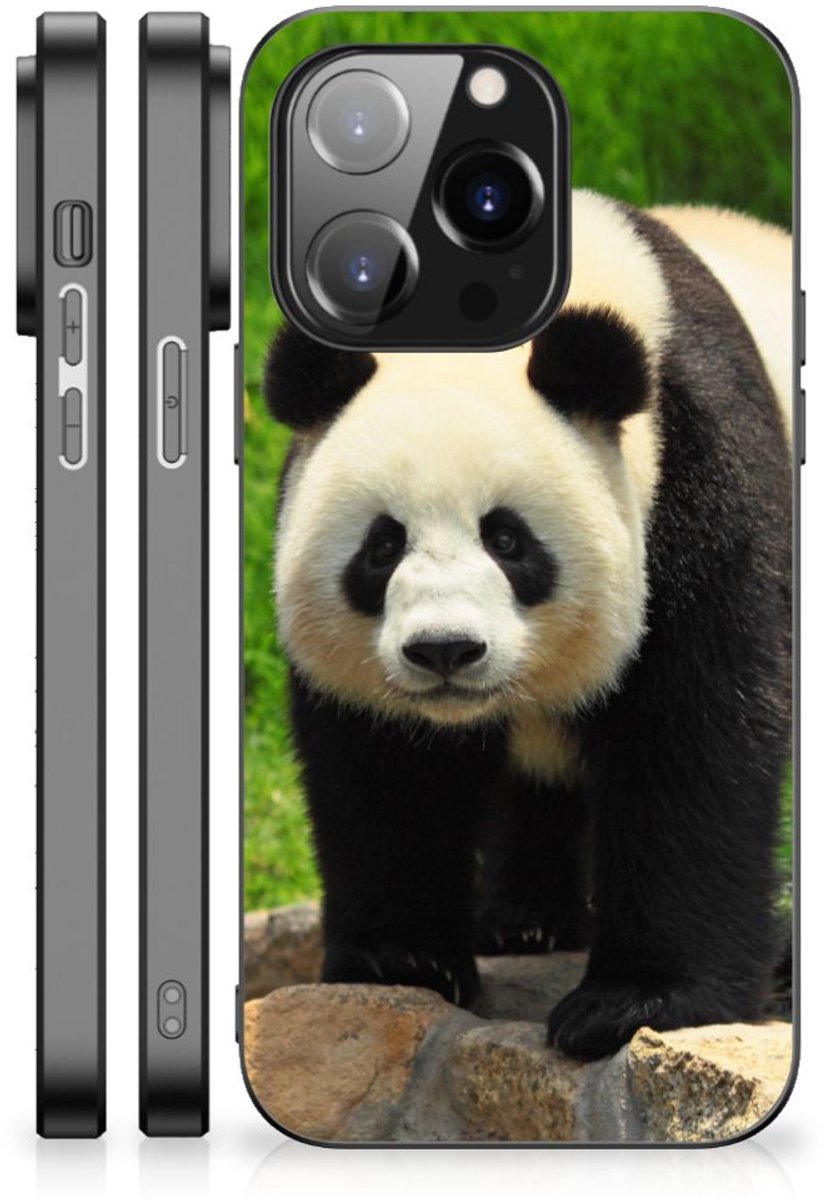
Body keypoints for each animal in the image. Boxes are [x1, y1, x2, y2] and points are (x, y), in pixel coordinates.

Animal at [264, 190, 792, 1061]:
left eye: (507, 539)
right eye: (382, 546)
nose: (445, 650)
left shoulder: (701, 478)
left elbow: (696, 737)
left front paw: (635, 1002)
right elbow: (385, 767)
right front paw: (402, 959)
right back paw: (525, 920)